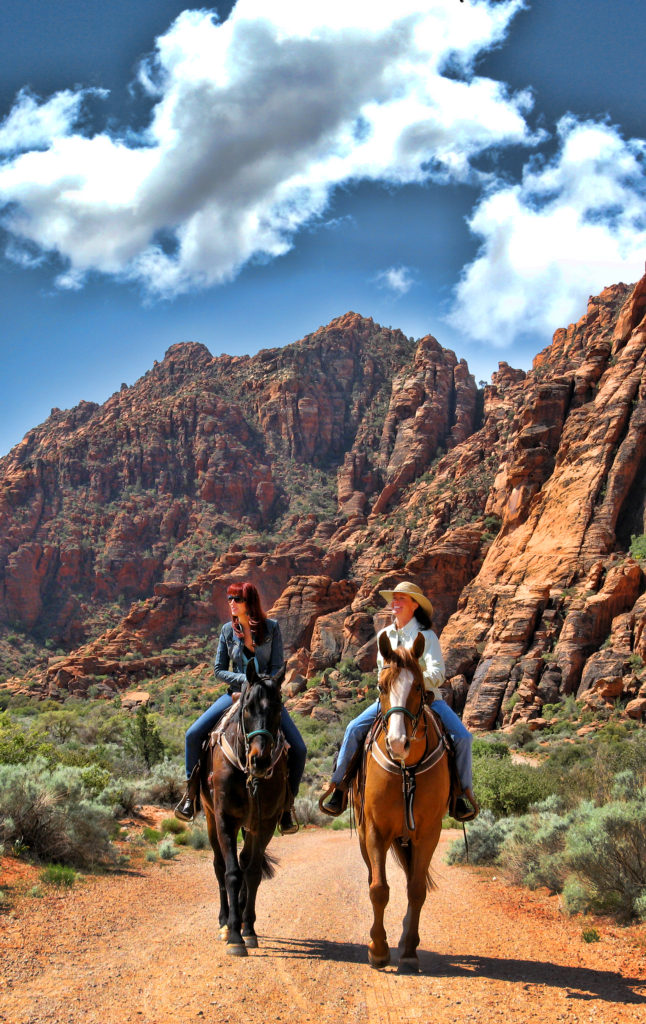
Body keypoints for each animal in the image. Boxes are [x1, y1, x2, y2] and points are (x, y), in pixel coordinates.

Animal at [202, 659, 288, 954]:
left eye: (278, 707)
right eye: (247, 706)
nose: (259, 760)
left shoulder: (265, 823)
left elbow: (251, 873)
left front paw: (248, 929)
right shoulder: (225, 818)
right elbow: (231, 873)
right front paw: (234, 936)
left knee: (245, 861)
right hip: (209, 818)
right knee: (219, 866)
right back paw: (224, 922)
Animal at [354, 630, 450, 974]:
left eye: (419, 686)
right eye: (381, 687)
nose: (398, 743)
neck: (406, 769)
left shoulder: (429, 833)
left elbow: (417, 890)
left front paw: (408, 951)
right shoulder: (374, 830)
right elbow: (378, 889)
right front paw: (378, 950)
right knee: (372, 877)